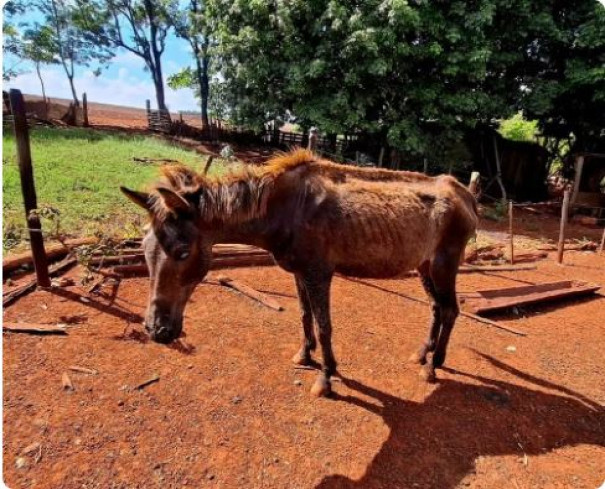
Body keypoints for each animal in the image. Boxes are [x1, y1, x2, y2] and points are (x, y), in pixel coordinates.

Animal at [121, 149, 476, 396]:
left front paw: (326, 378)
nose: (157, 330)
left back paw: (433, 366)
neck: (283, 212)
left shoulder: (319, 272)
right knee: (436, 307)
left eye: (182, 251)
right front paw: (305, 355)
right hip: (424, 265)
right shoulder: (299, 272)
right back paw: (423, 353)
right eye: (145, 248)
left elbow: (324, 326)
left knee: (450, 309)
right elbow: (305, 316)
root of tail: (467, 195)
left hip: (445, 262)